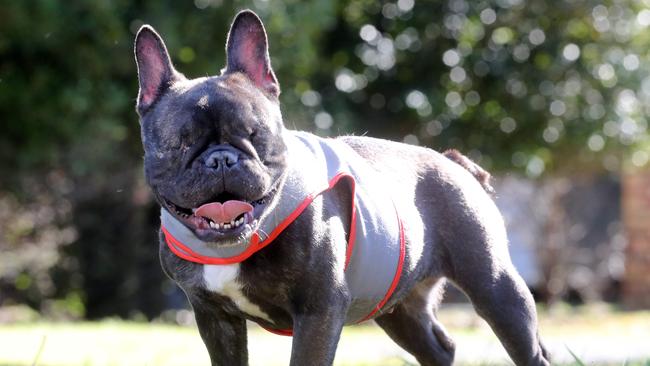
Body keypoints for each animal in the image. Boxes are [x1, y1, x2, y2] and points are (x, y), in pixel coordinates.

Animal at [134, 10, 548, 364]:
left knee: (529, 349)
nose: (221, 159)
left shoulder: (318, 310)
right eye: (181, 144)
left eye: (254, 134)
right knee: (438, 348)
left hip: (495, 287)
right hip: (398, 309)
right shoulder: (214, 317)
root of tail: (452, 162)